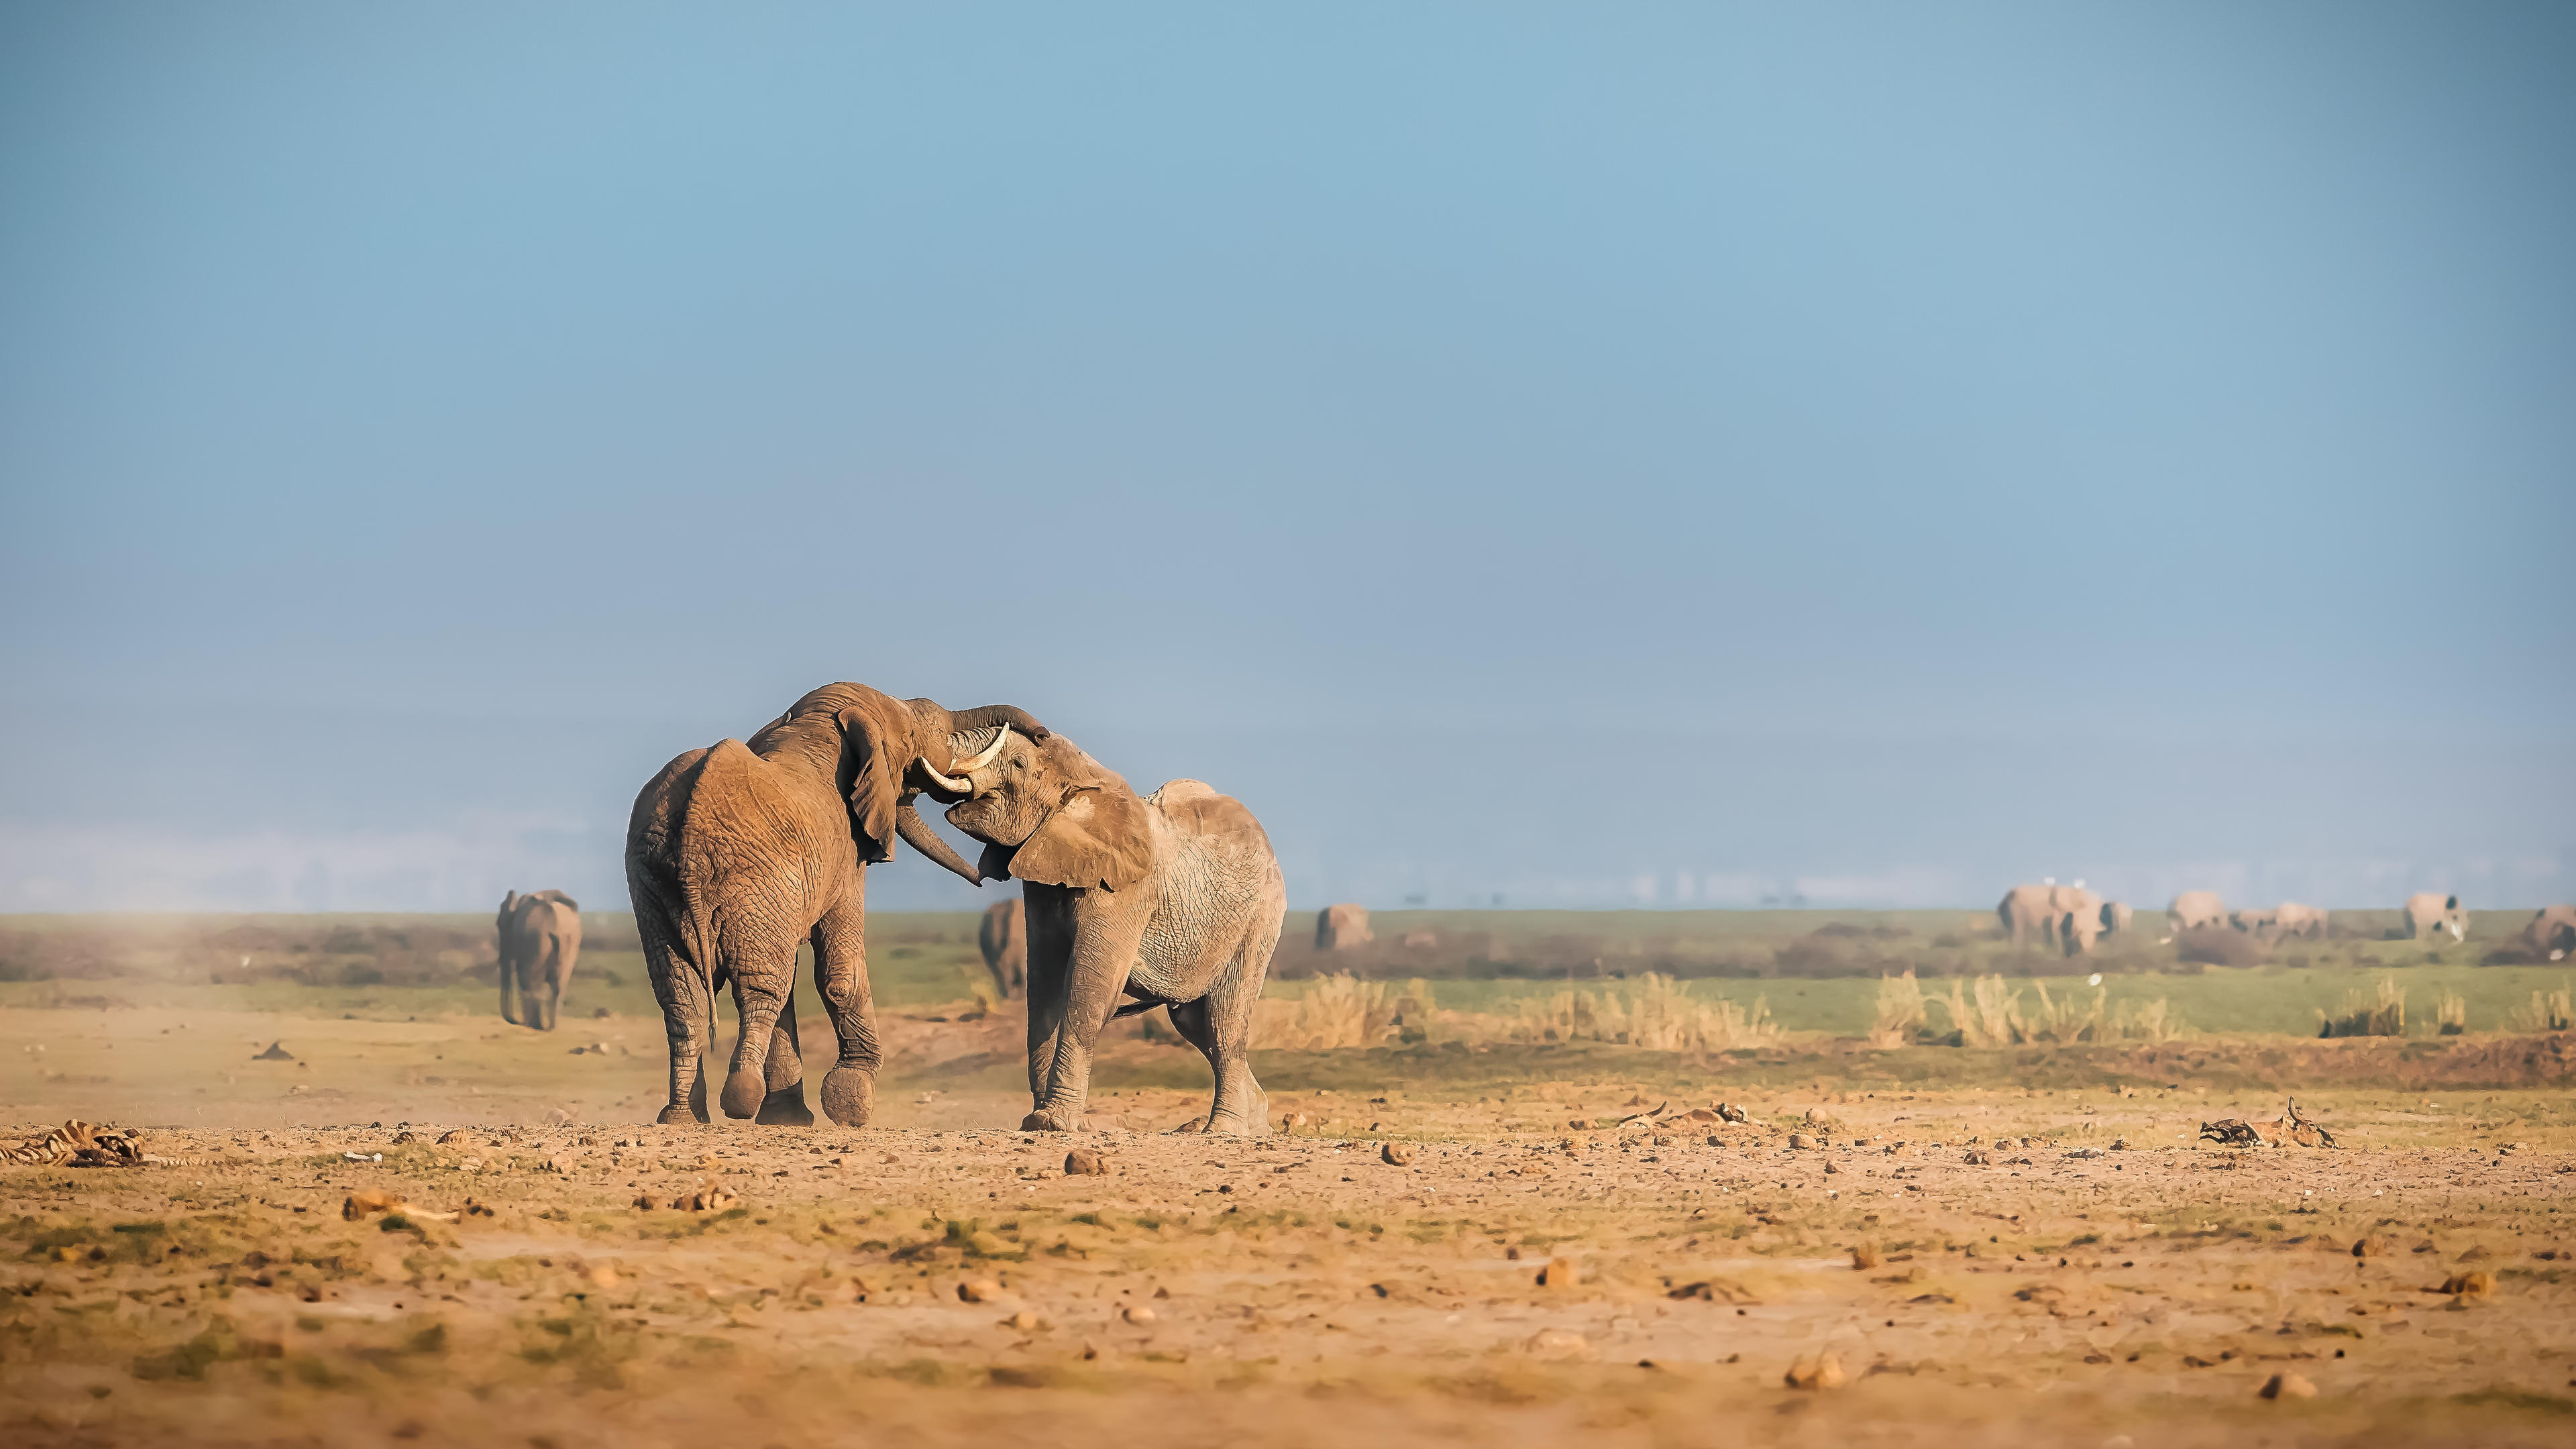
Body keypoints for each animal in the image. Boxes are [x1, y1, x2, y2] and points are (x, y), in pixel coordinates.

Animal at [496, 889, 581, 1030]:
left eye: (499, 925)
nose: (516, 1021)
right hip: (569, 942)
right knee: (559, 984)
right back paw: (550, 1027)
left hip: (536, 939)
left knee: (532, 979)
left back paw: (535, 1026)